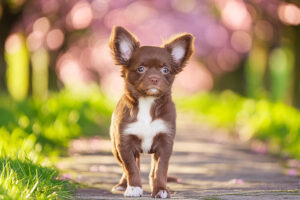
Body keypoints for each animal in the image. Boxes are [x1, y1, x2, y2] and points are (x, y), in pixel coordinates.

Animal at [109, 26, 193, 198]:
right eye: (140, 69)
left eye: (165, 70)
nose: (154, 78)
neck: (147, 103)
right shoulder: (124, 143)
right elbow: (131, 168)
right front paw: (134, 187)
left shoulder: (165, 142)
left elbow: (160, 169)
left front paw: (161, 189)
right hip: (115, 147)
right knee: (127, 167)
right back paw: (122, 185)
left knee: (152, 168)